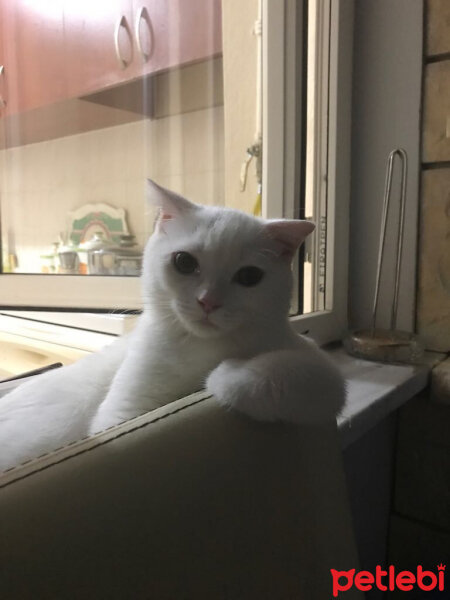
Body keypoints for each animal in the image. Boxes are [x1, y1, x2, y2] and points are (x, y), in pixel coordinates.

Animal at [0, 180, 344, 472]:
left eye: (249, 277)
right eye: (184, 262)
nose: (209, 302)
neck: (200, 346)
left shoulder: (318, 371)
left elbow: (296, 373)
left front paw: (227, 376)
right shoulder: (123, 413)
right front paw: (221, 375)